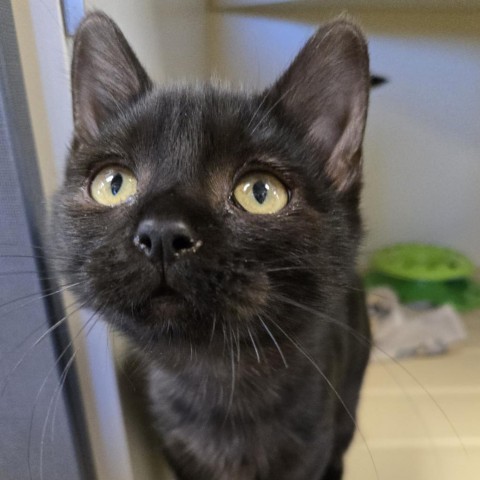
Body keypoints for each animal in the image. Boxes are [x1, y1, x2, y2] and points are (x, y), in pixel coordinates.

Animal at [53, 12, 372, 480]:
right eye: (114, 184)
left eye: (260, 192)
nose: (162, 232)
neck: (219, 382)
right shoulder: (175, 445)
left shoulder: (310, 445)